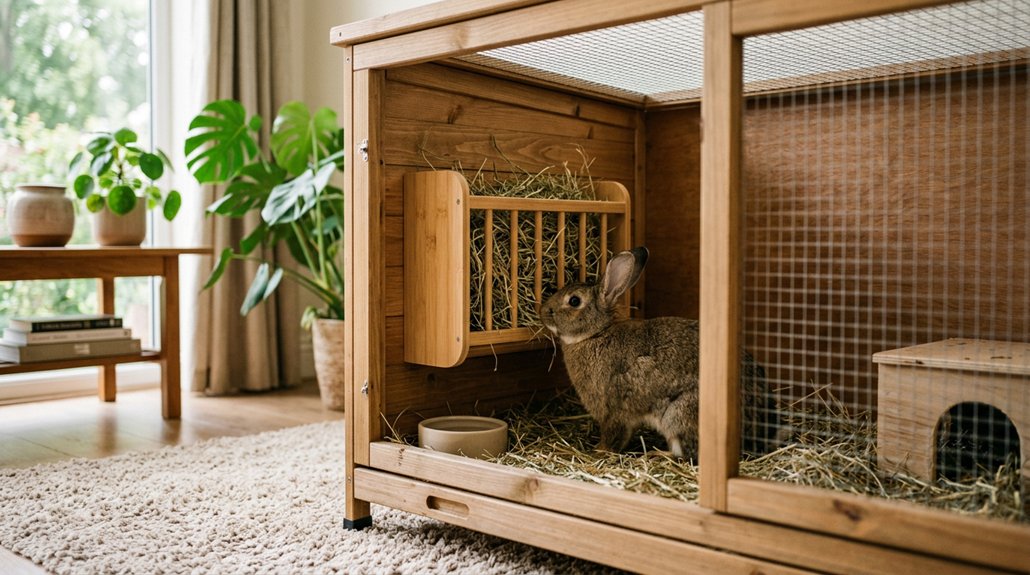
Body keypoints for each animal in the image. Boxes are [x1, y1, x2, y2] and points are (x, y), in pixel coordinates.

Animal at [540, 246, 784, 459]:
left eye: (574, 300)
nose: (542, 311)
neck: (596, 334)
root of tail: (757, 428)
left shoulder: (612, 411)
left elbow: (613, 436)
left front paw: (598, 451)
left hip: (678, 415)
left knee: (688, 453)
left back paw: (656, 455)